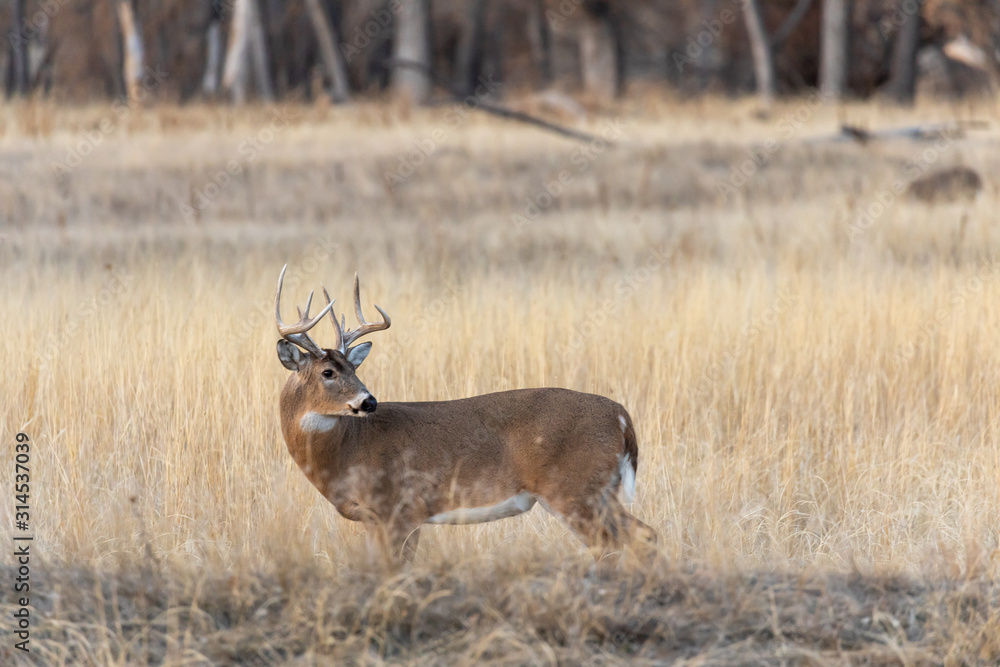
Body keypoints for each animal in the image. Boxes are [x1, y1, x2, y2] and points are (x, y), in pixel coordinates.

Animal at [274, 265, 656, 565]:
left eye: (353, 367)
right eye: (328, 372)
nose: (369, 402)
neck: (347, 451)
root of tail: (621, 416)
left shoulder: (400, 509)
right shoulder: (376, 519)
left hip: (574, 488)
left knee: (618, 542)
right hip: (600, 490)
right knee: (644, 534)